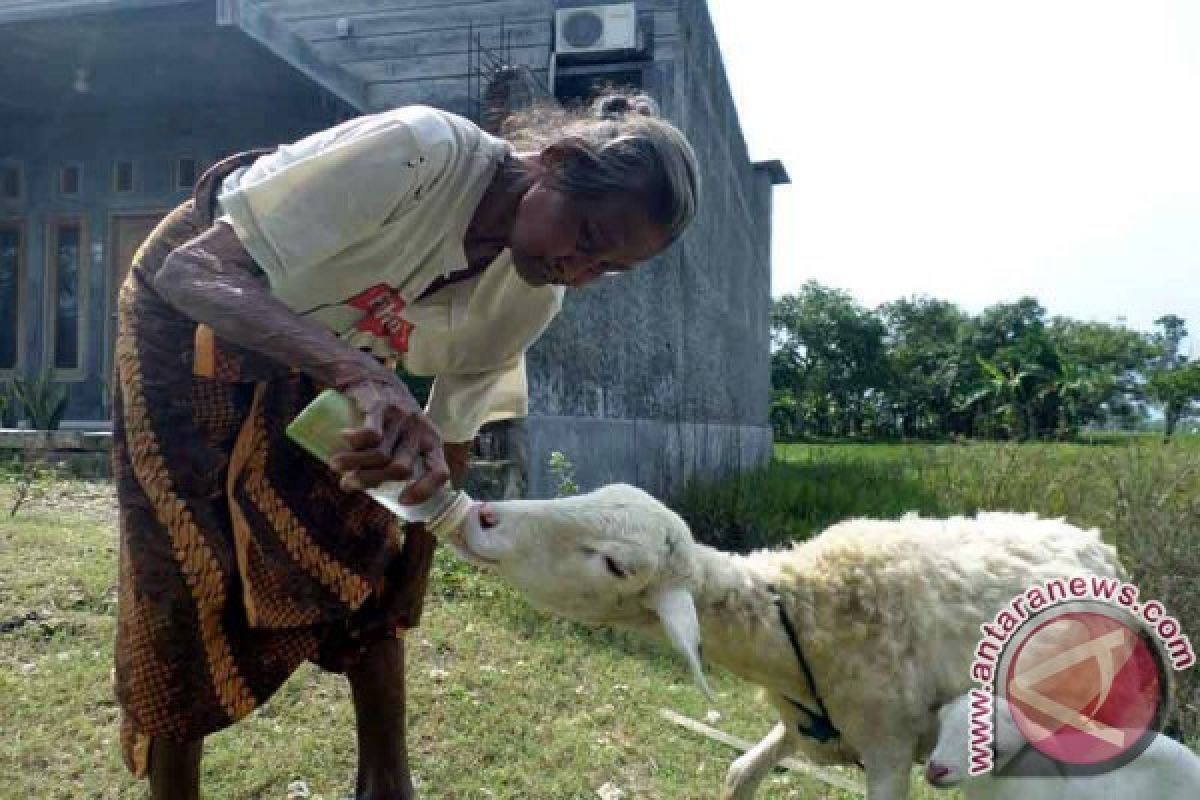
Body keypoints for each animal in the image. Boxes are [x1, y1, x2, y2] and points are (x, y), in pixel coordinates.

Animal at [448, 484, 1123, 796]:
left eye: (615, 564)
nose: (482, 515)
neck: (800, 614)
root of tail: (1091, 537)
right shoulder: (802, 728)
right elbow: (737, 775)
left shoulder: (887, 751)